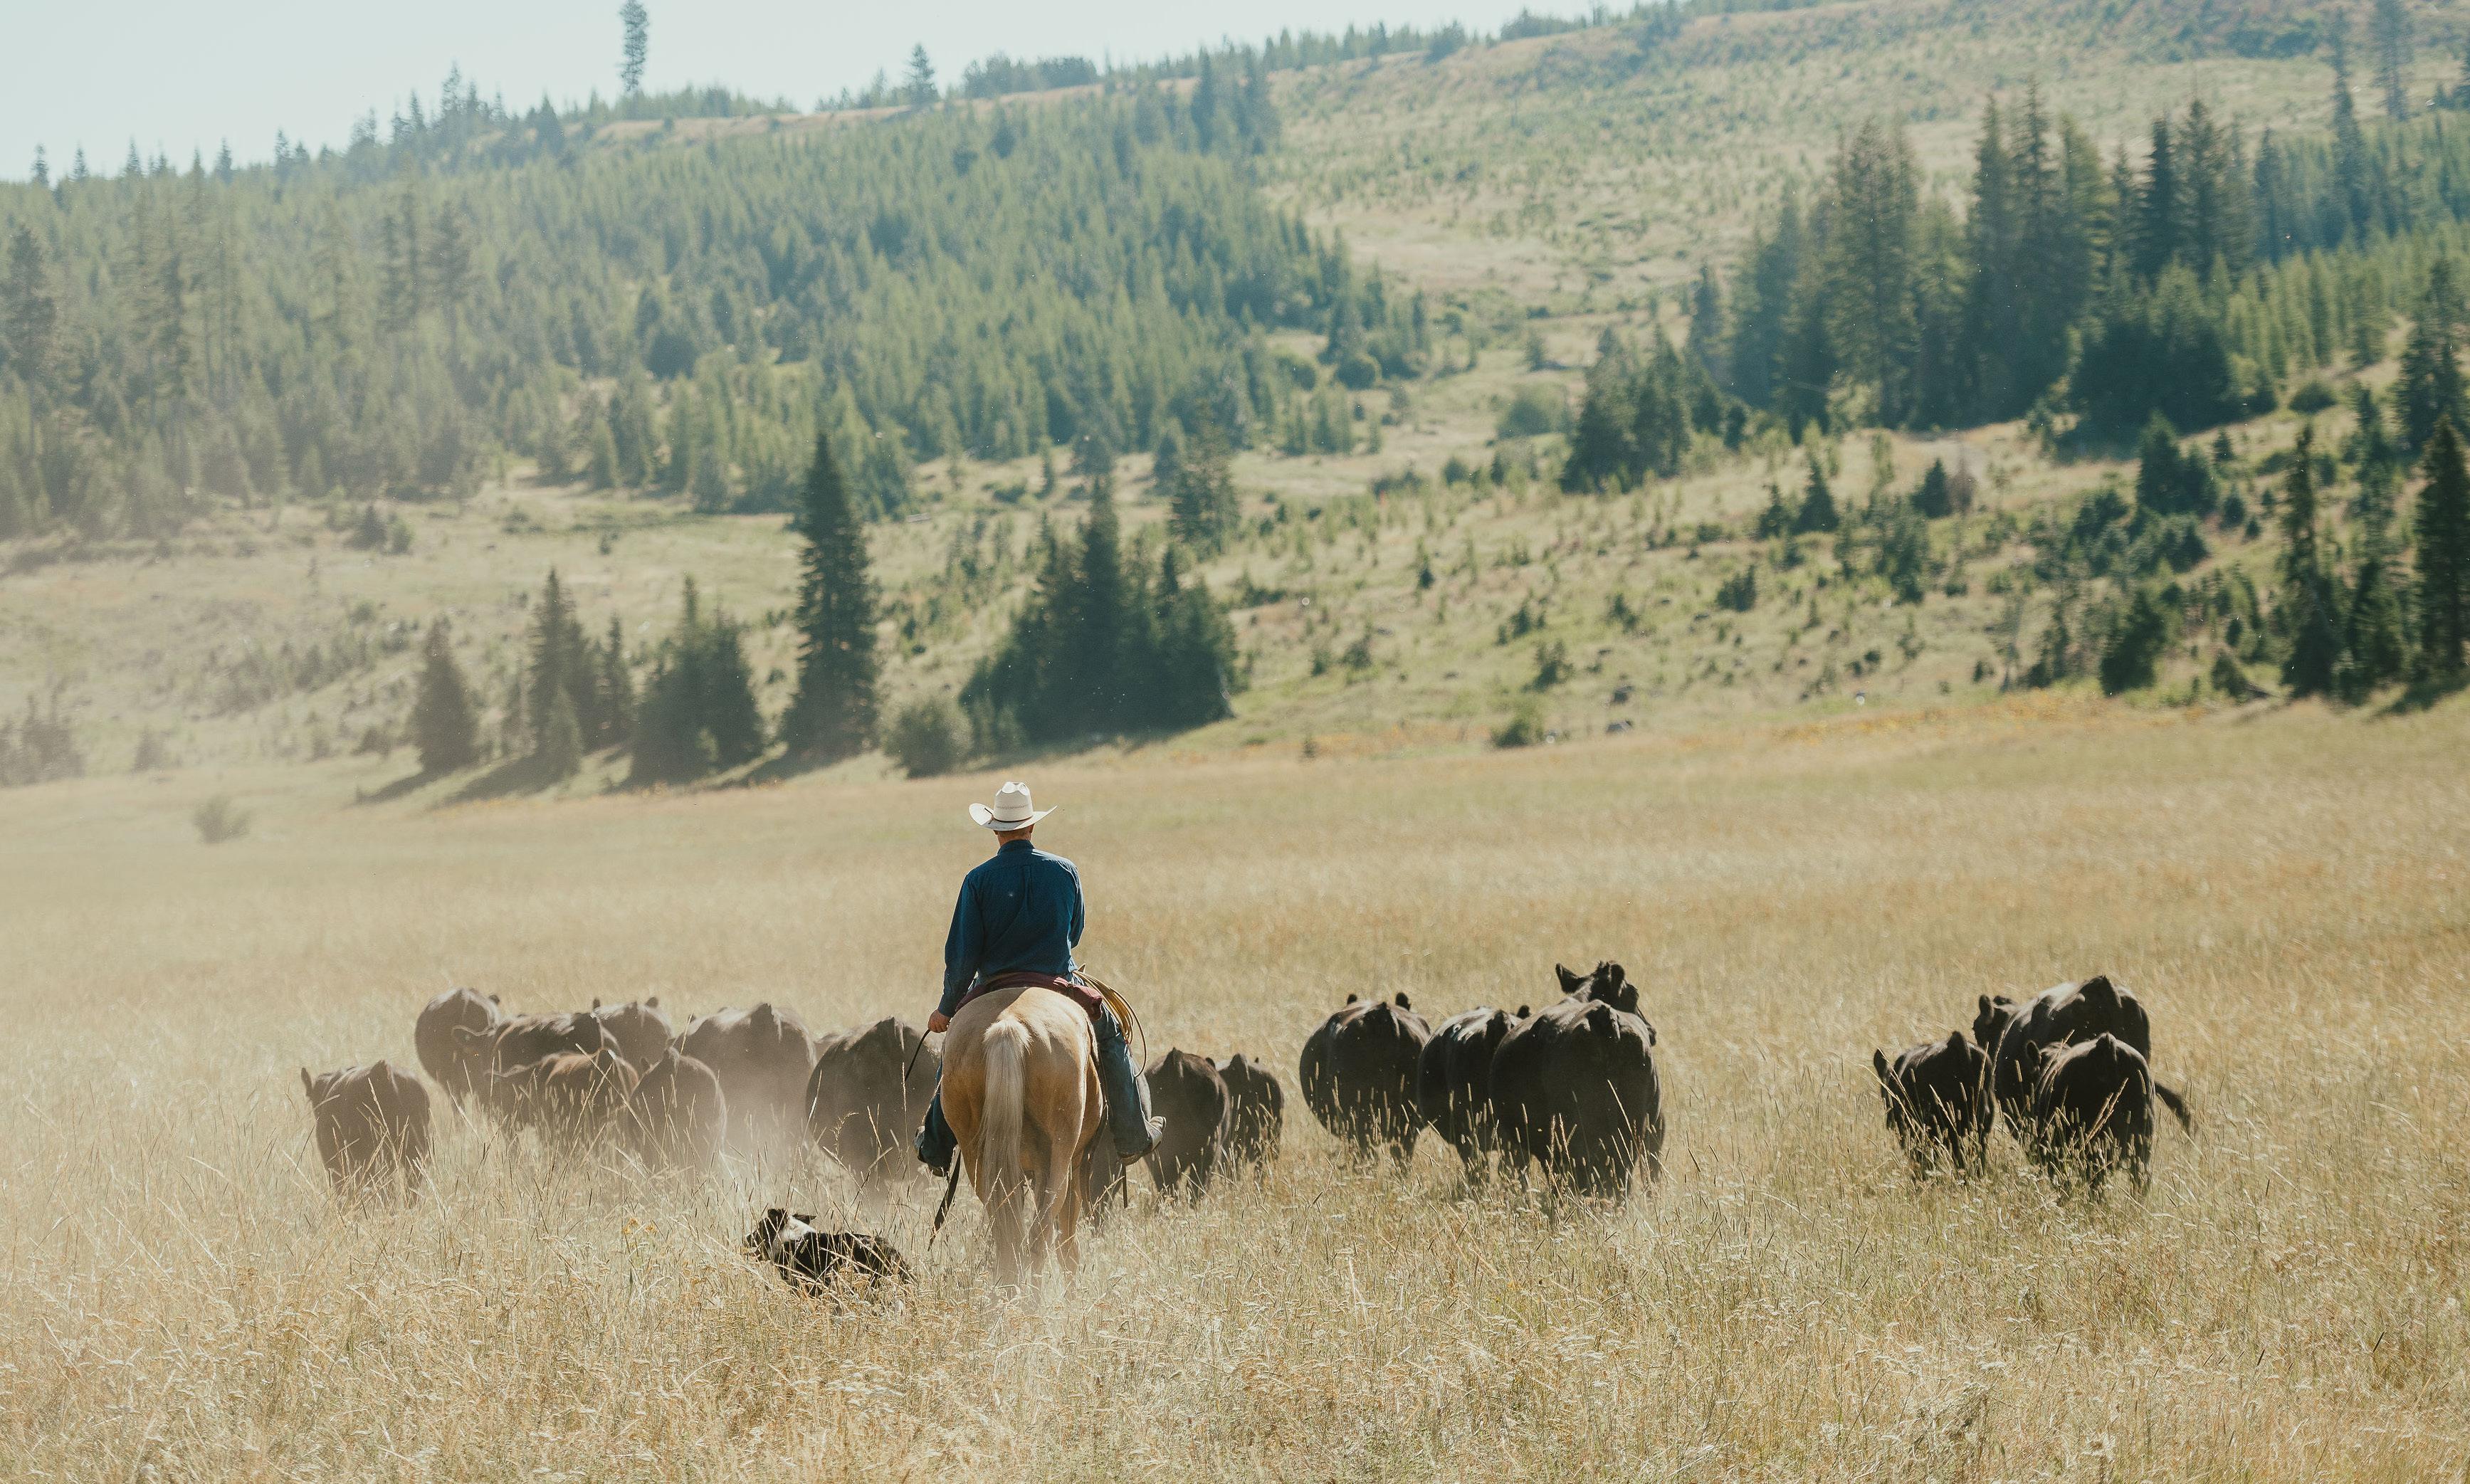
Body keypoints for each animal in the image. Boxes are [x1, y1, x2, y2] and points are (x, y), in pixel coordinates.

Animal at [939, 984, 1113, 1285]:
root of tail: (1008, 1027)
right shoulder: (1073, 1161)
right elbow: (1067, 1240)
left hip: (980, 1163)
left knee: (1009, 1237)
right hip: (1060, 1159)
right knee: (1039, 1236)